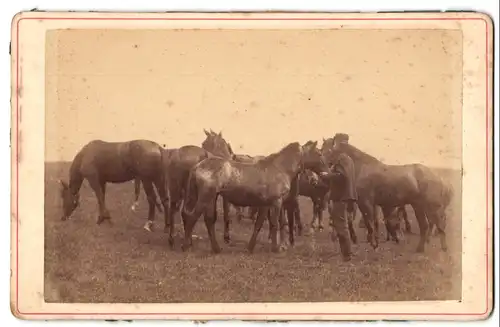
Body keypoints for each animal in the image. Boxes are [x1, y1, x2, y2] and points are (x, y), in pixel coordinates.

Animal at [180, 141, 332, 254]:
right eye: (319, 153)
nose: (326, 173)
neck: (279, 168)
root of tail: (197, 166)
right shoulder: (276, 203)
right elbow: (275, 224)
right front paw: (276, 248)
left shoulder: (265, 205)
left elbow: (258, 224)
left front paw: (250, 247)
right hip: (206, 197)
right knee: (192, 217)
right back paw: (186, 246)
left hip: (212, 198)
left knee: (208, 220)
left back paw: (216, 248)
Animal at [320, 133, 454, 254]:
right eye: (321, 149)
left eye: (329, 150)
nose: (323, 173)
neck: (362, 168)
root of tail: (438, 177)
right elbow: (371, 222)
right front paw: (371, 242)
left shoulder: (365, 202)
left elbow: (370, 223)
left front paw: (374, 244)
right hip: (418, 207)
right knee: (425, 226)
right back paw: (420, 249)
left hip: (431, 207)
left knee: (439, 225)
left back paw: (442, 248)